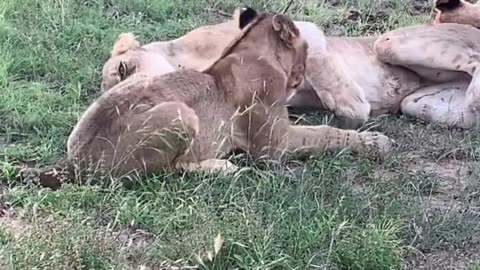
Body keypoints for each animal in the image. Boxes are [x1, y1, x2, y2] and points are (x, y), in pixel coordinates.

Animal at [103, 0, 480, 130]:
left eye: (122, 70)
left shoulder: (302, 27)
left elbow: (318, 64)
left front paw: (350, 103)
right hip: (420, 103)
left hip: (390, 41)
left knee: (475, 61)